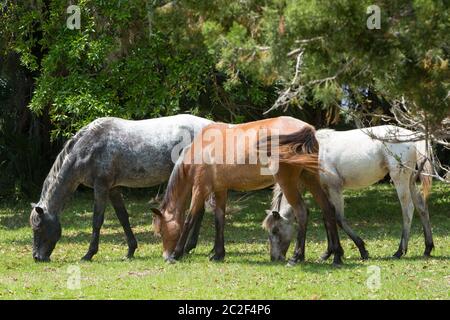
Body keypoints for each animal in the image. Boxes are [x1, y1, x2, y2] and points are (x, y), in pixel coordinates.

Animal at [29, 115, 213, 262]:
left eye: (38, 227)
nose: (37, 257)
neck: (87, 148)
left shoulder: (101, 187)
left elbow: (97, 220)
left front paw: (89, 254)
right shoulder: (113, 189)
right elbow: (123, 217)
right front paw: (130, 250)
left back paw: (189, 247)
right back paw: (190, 247)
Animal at [151, 117, 344, 264]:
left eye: (161, 232)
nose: (165, 255)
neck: (202, 147)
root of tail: (307, 129)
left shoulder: (200, 189)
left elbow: (189, 220)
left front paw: (176, 254)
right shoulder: (220, 190)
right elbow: (219, 219)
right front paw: (218, 254)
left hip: (288, 183)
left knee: (302, 212)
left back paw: (297, 257)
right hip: (310, 178)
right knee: (328, 209)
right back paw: (336, 256)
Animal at [262, 124, 434, 262]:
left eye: (275, 230)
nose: (274, 258)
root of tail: (411, 136)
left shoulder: (335, 189)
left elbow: (338, 218)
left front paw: (360, 250)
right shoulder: (325, 190)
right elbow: (327, 218)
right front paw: (328, 253)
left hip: (400, 179)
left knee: (408, 209)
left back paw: (399, 251)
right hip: (410, 181)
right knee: (421, 206)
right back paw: (428, 248)